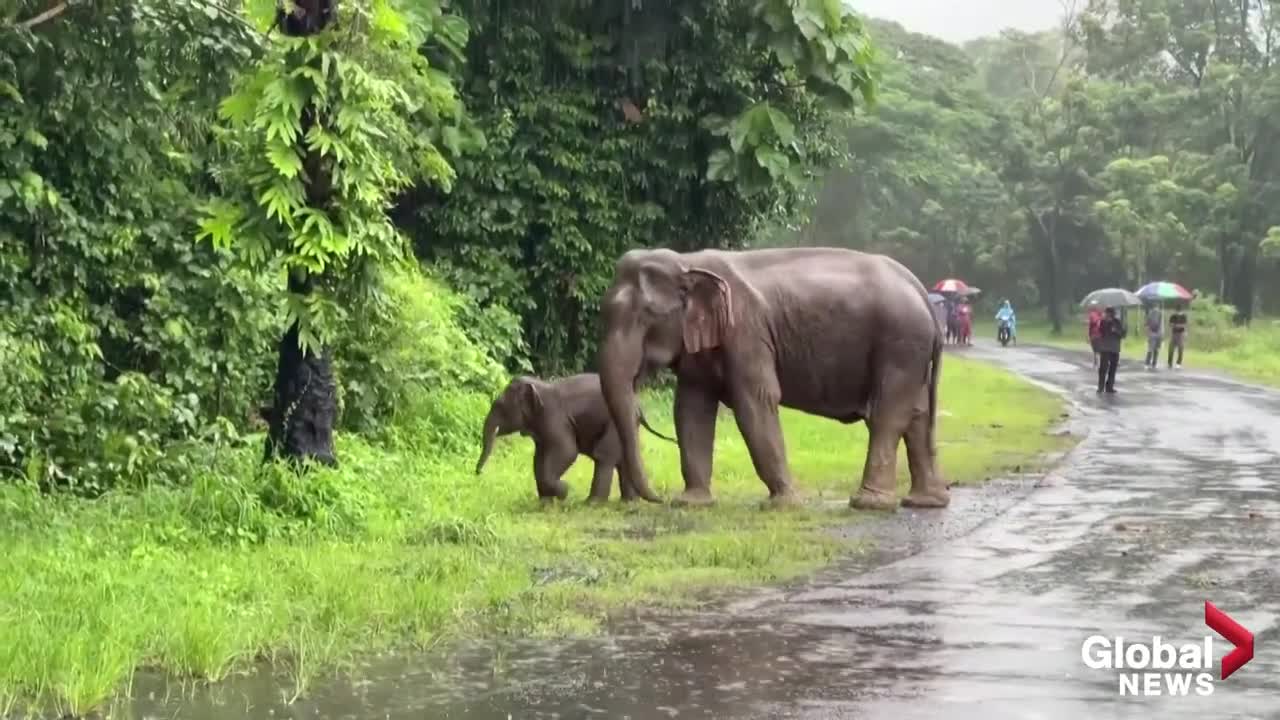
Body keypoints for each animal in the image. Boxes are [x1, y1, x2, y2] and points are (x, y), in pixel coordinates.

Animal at [478, 368, 680, 499]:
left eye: (499, 406)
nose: (477, 473)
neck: (542, 387)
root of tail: (638, 406)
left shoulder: (554, 418)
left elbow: (567, 451)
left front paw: (565, 491)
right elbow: (539, 458)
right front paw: (546, 502)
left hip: (614, 425)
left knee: (604, 456)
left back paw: (592, 504)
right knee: (623, 459)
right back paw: (628, 502)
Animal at [593, 245, 947, 509]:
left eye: (646, 317)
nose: (660, 498)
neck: (687, 262)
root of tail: (920, 290)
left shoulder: (746, 332)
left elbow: (756, 402)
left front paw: (784, 504)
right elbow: (690, 410)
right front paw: (692, 503)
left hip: (900, 342)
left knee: (888, 414)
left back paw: (868, 504)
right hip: (911, 351)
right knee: (917, 415)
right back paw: (925, 502)